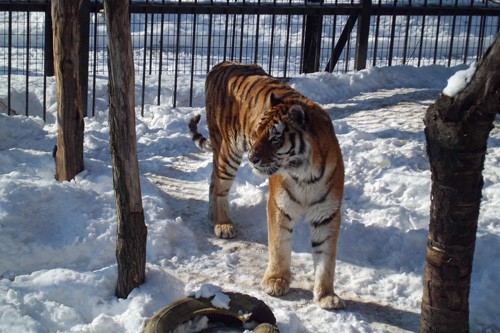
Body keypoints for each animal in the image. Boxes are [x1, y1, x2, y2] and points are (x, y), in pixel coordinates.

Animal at [188, 61, 344, 308]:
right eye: (258, 131)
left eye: (275, 137)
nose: (252, 158)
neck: (305, 173)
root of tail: (222, 64)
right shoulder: (279, 206)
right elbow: (279, 246)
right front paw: (276, 281)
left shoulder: (327, 213)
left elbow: (326, 258)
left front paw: (327, 295)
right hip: (228, 151)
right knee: (219, 186)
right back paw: (223, 224)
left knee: (213, 182)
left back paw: (213, 218)